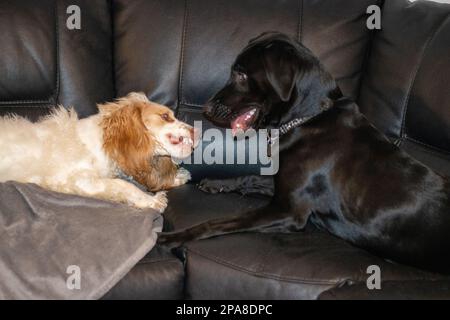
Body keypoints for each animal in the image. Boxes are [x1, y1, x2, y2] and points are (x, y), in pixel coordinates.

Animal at [0, 92, 199, 212]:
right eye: (165, 116)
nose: (197, 131)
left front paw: (177, 177)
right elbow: (123, 185)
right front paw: (151, 200)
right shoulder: (78, 180)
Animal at [158, 31, 450, 272]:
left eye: (241, 75)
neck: (308, 119)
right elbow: (252, 177)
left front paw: (174, 236)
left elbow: (218, 222)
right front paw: (218, 182)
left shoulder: (288, 211)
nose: (206, 108)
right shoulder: (283, 188)